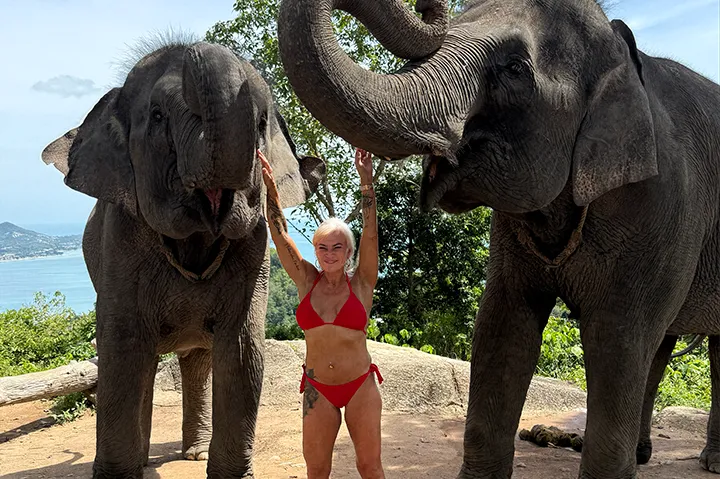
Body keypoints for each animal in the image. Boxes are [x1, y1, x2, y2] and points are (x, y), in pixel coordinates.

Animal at [41, 39, 325, 478]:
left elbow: (243, 351)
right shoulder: (118, 243)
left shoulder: (255, 247)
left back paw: (195, 453)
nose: (193, 45)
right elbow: (122, 349)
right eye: (158, 116)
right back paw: (146, 458)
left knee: (197, 359)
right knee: (147, 362)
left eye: (263, 122)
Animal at [276, 0, 720, 477]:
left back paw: (708, 461)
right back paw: (645, 456)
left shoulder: (663, 206)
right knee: (665, 350)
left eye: (514, 68)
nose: (429, 9)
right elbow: (500, 327)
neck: (626, 59)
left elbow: (618, 338)